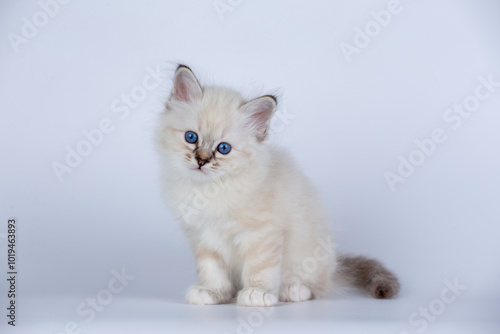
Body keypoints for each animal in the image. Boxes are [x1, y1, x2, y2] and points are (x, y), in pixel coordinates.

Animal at [156, 64, 398, 306]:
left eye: (223, 148)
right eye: (191, 137)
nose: (202, 160)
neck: (208, 190)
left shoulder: (261, 232)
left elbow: (259, 266)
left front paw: (257, 293)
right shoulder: (203, 238)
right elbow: (212, 270)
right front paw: (213, 292)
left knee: (317, 286)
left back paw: (293, 290)